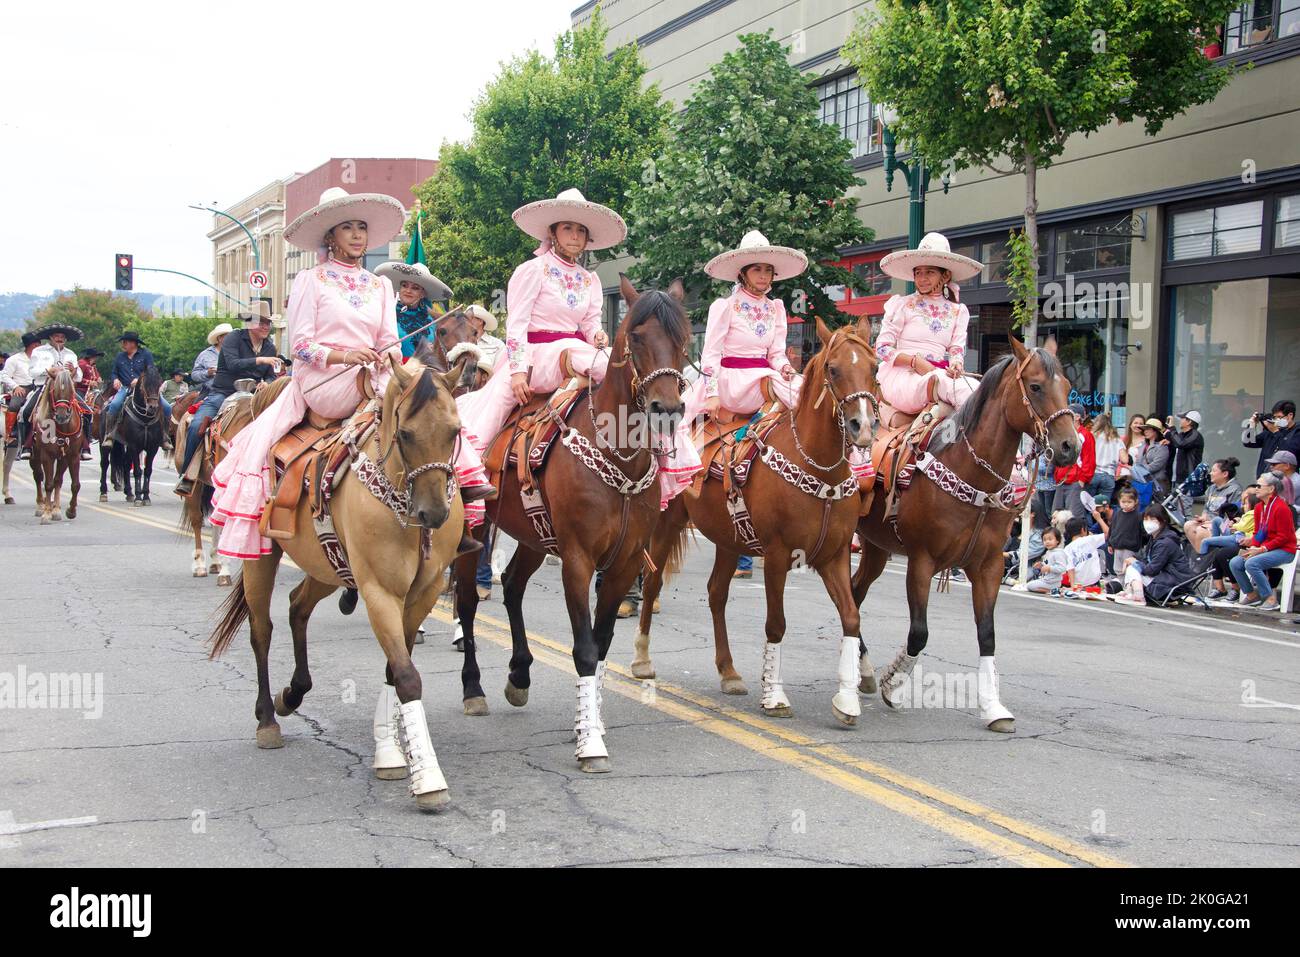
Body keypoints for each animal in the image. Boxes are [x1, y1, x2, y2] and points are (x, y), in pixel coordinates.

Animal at [28, 369, 84, 527]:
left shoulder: (72, 456)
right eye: (55, 391)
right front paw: (46, 514)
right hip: (35, 456)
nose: (62, 416)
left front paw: (69, 511)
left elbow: (74, 484)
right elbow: (48, 484)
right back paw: (41, 506)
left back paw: (56, 509)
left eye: (72, 390)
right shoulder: (47, 455)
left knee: (57, 480)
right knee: (38, 476)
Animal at [210, 351, 480, 816]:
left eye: (455, 431)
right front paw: (428, 779)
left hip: (328, 564)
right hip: (262, 557)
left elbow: (395, 668)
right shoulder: (378, 591)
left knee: (297, 606)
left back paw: (292, 694)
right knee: (261, 630)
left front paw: (391, 752)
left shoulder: (423, 592)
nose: (433, 515)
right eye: (405, 433)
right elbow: (406, 676)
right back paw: (267, 718)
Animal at [447, 274, 691, 769]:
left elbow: (603, 642)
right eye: (637, 337)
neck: (620, 455)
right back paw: (473, 688)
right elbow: (584, 649)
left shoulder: (624, 563)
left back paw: (519, 675)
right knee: (467, 601)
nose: (667, 409)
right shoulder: (578, 558)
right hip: (477, 532)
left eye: (683, 338)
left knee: (513, 586)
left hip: (534, 536)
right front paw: (590, 743)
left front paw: (588, 720)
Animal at [631, 317, 878, 722]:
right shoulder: (778, 554)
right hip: (667, 524)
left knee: (716, 593)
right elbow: (776, 624)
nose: (864, 426)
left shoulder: (835, 555)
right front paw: (775, 696)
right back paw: (641, 658)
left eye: (874, 368)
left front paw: (847, 700)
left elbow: (852, 617)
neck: (820, 468)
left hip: (730, 539)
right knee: (652, 584)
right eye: (833, 369)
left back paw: (728, 671)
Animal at [847, 335, 1071, 733]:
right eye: (1035, 387)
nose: (1070, 446)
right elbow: (919, 632)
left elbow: (987, 634)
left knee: (855, 593)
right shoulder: (922, 561)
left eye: (1070, 386)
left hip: (875, 546)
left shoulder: (988, 566)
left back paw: (865, 670)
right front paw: (894, 685)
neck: (971, 472)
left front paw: (994, 708)